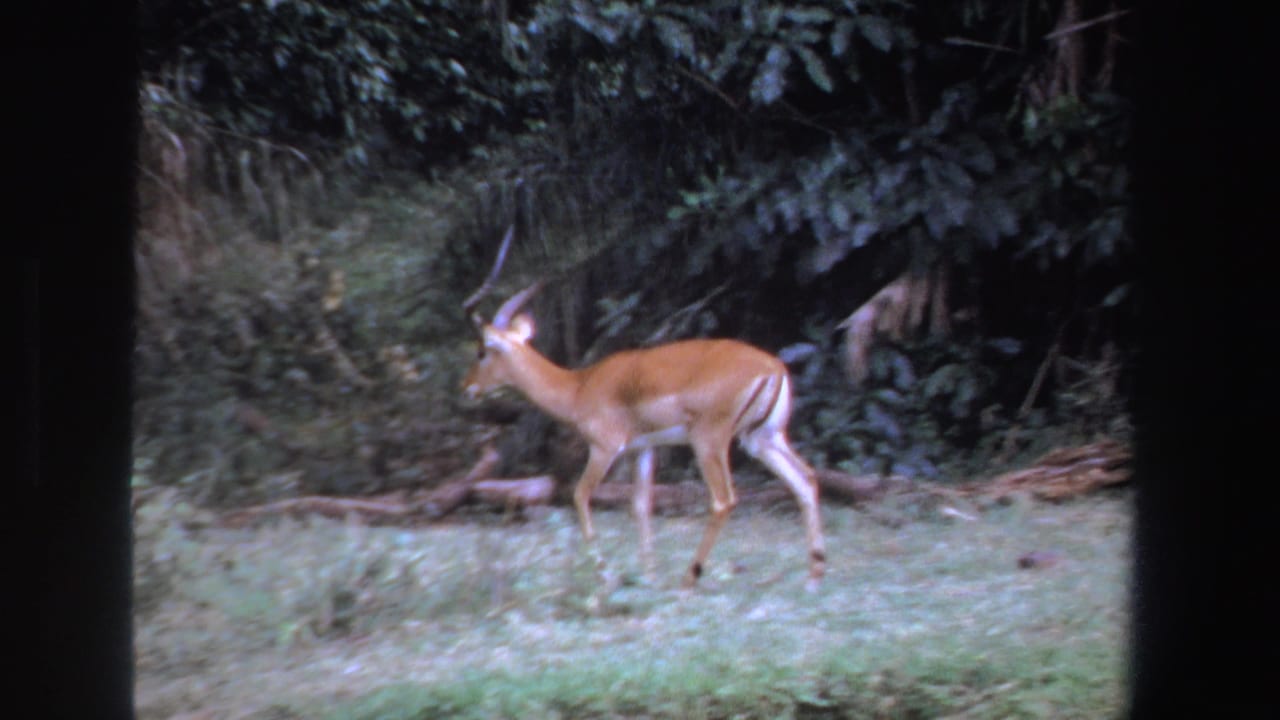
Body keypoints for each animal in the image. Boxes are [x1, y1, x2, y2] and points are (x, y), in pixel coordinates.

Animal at [461, 228, 826, 590]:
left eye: (481, 350)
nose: (467, 388)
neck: (580, 386)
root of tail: (773, 367)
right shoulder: (643, 449)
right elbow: (640, 506)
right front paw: (648, 574)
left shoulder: (605, 448)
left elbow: (579, 495)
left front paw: (604, 573)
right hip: (761, 438)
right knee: (805, 479)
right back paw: (813, 576)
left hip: (710, 441)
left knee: (724, 500)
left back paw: (690, 576)